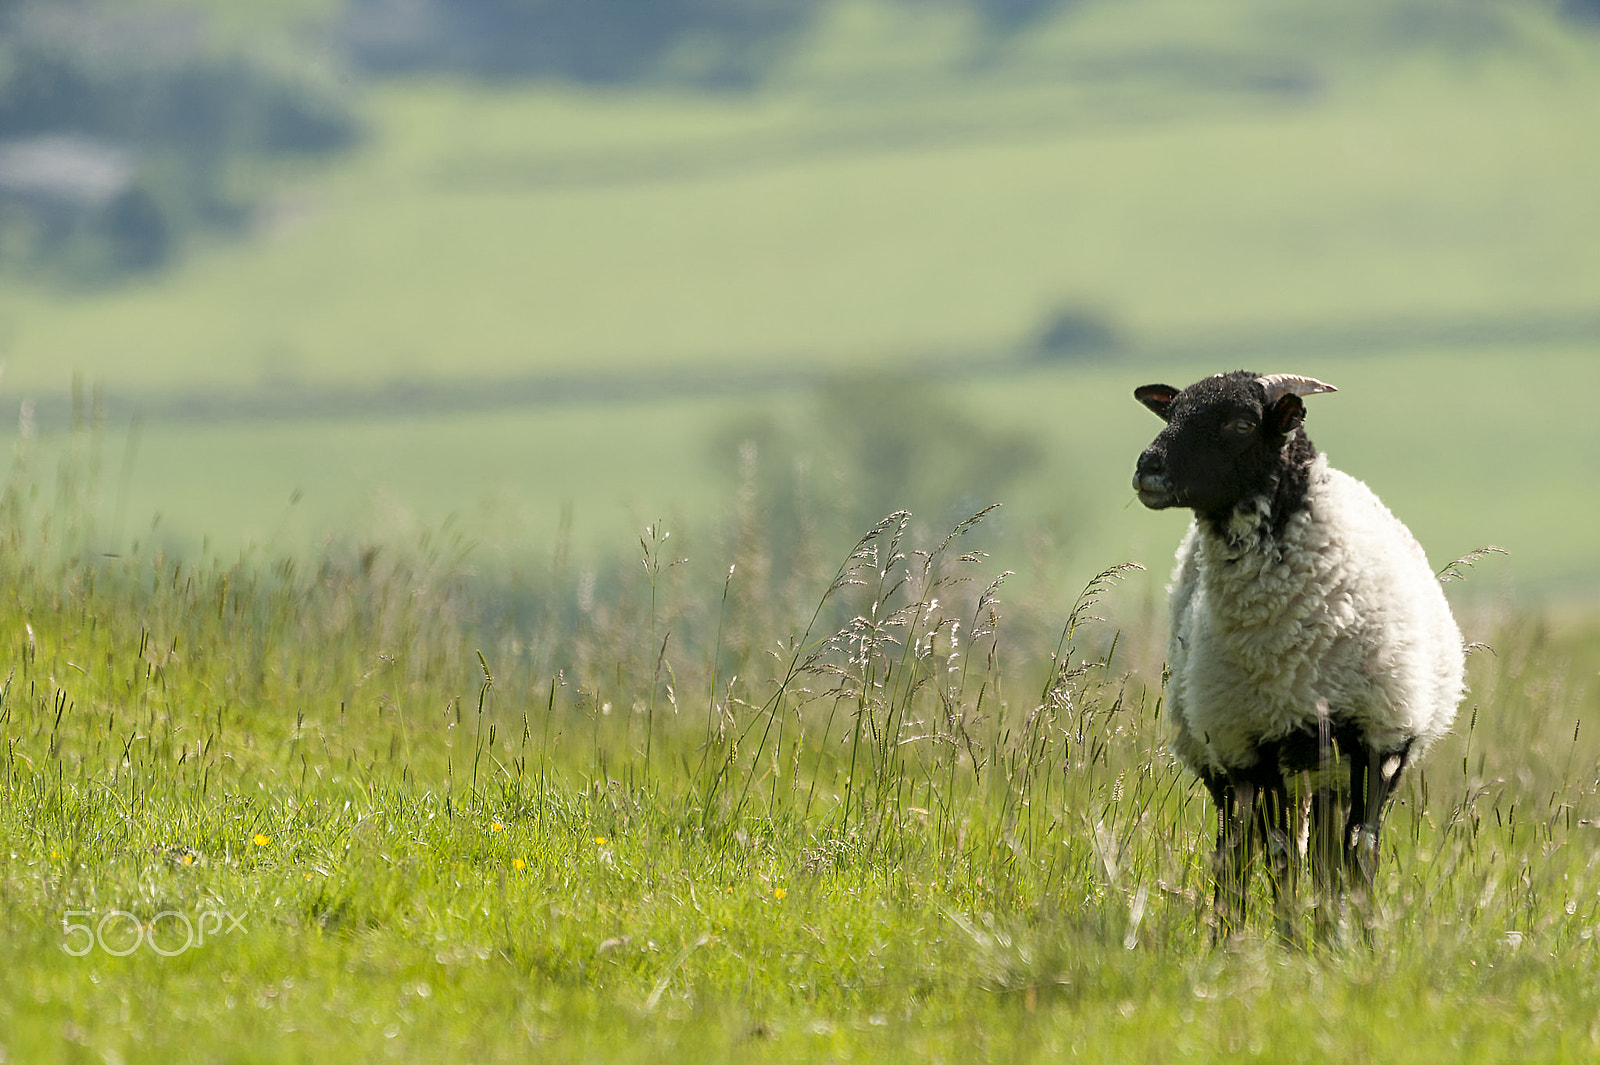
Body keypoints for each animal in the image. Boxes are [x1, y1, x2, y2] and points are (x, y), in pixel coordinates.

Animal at [1131, 370, 1465, 937]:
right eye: (1172, 413)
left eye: (1242, 424)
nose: (1147, 468)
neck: (1284, 645)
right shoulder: (1252, 743)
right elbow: (1280, 855)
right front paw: (1289, 941)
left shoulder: (1380, 738)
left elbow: (1360, 852)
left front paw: (1357, 939)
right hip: (1227, 759)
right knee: (1237, 848)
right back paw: (1228, 933)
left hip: (1326, 762)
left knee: (1325, 850)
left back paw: (1326, 925)